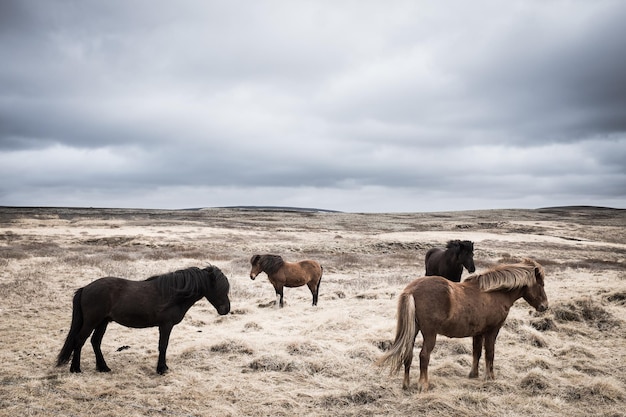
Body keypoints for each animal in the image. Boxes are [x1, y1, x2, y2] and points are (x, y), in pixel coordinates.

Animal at [56, 264, 229, 376]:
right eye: (219, 287)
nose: (226, 309)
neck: (173, 294)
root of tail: (85, 288)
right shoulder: (165, 325)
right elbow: (163, 346)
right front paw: (161, 369)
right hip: (92, 321)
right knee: (80, 340)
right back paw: (76, 369)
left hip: (103, 321)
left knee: (95, 341)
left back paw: (103, 367)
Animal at [376, 258, 544, 392]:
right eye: (541, 284)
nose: (544, 306)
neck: (494, 293)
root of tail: (412, 290)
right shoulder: (492, 331)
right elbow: (490, 353)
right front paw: (490, 377)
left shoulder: (478, 333)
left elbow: (477, 352)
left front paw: (473, 374)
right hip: (430, 334)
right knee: (424, 355)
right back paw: (423, 385)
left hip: (413, 331)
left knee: (408, 355)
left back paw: (406, 384)